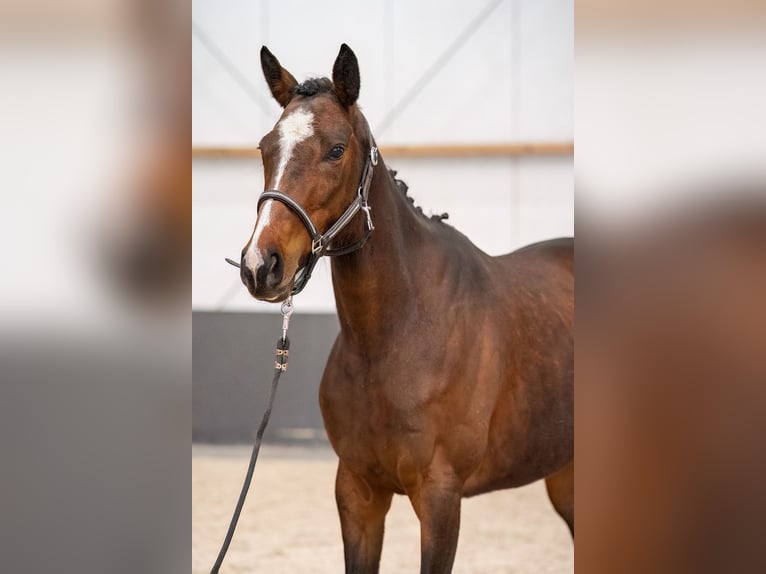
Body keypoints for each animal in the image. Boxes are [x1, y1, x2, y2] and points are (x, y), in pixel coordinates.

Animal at [239, 44, 574, 574]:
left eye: (336, 149)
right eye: (265, 148)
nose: (260, 265)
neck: (396, 335)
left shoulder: (440, 498)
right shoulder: (358, 492)